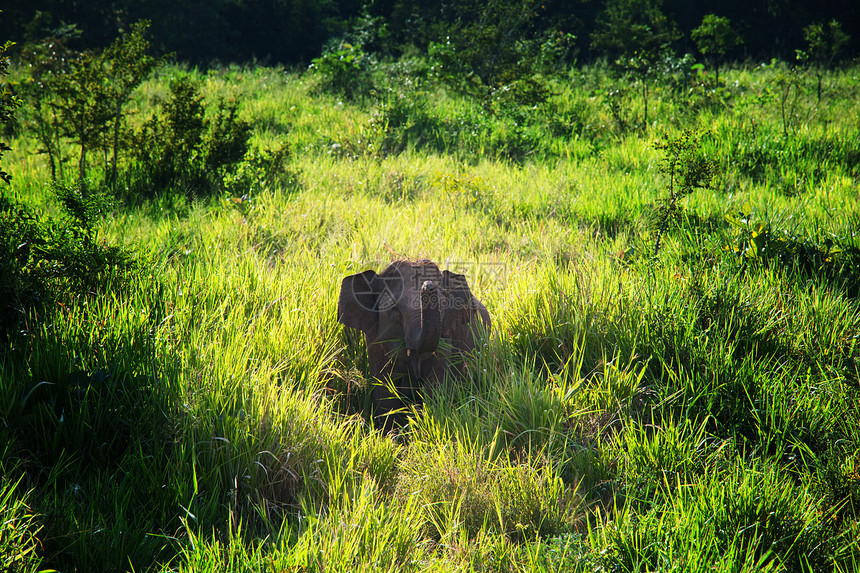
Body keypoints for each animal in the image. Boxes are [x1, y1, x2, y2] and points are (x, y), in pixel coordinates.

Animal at [340, 260, 494, 428]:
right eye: (395, 310)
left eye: (442, 305)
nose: (428, 286)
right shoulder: (375, 340)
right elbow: (384, 390)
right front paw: (390, 433)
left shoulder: (445, 338)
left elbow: (435, 387)